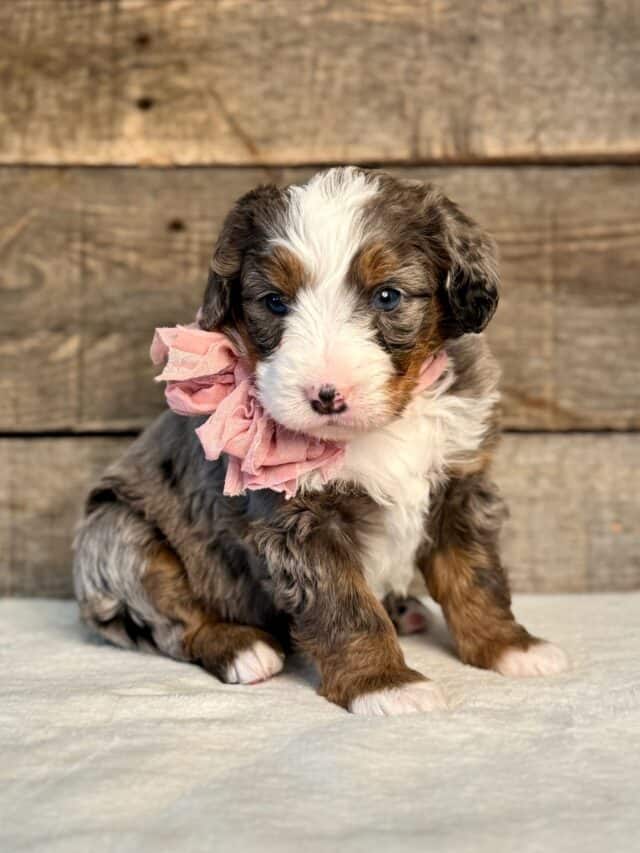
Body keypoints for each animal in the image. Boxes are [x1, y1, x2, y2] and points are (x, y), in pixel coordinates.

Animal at [72, 165, 568, 712]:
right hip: (118, 534)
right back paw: (241, 647)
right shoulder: (298, 521)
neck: (383, 428)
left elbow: (476, 575)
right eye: (274, 302)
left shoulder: (459, 485)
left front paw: (509, 646)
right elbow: (345, 606)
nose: (325, 395)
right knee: (175, 621)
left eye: (387, 296)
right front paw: (384, 683)